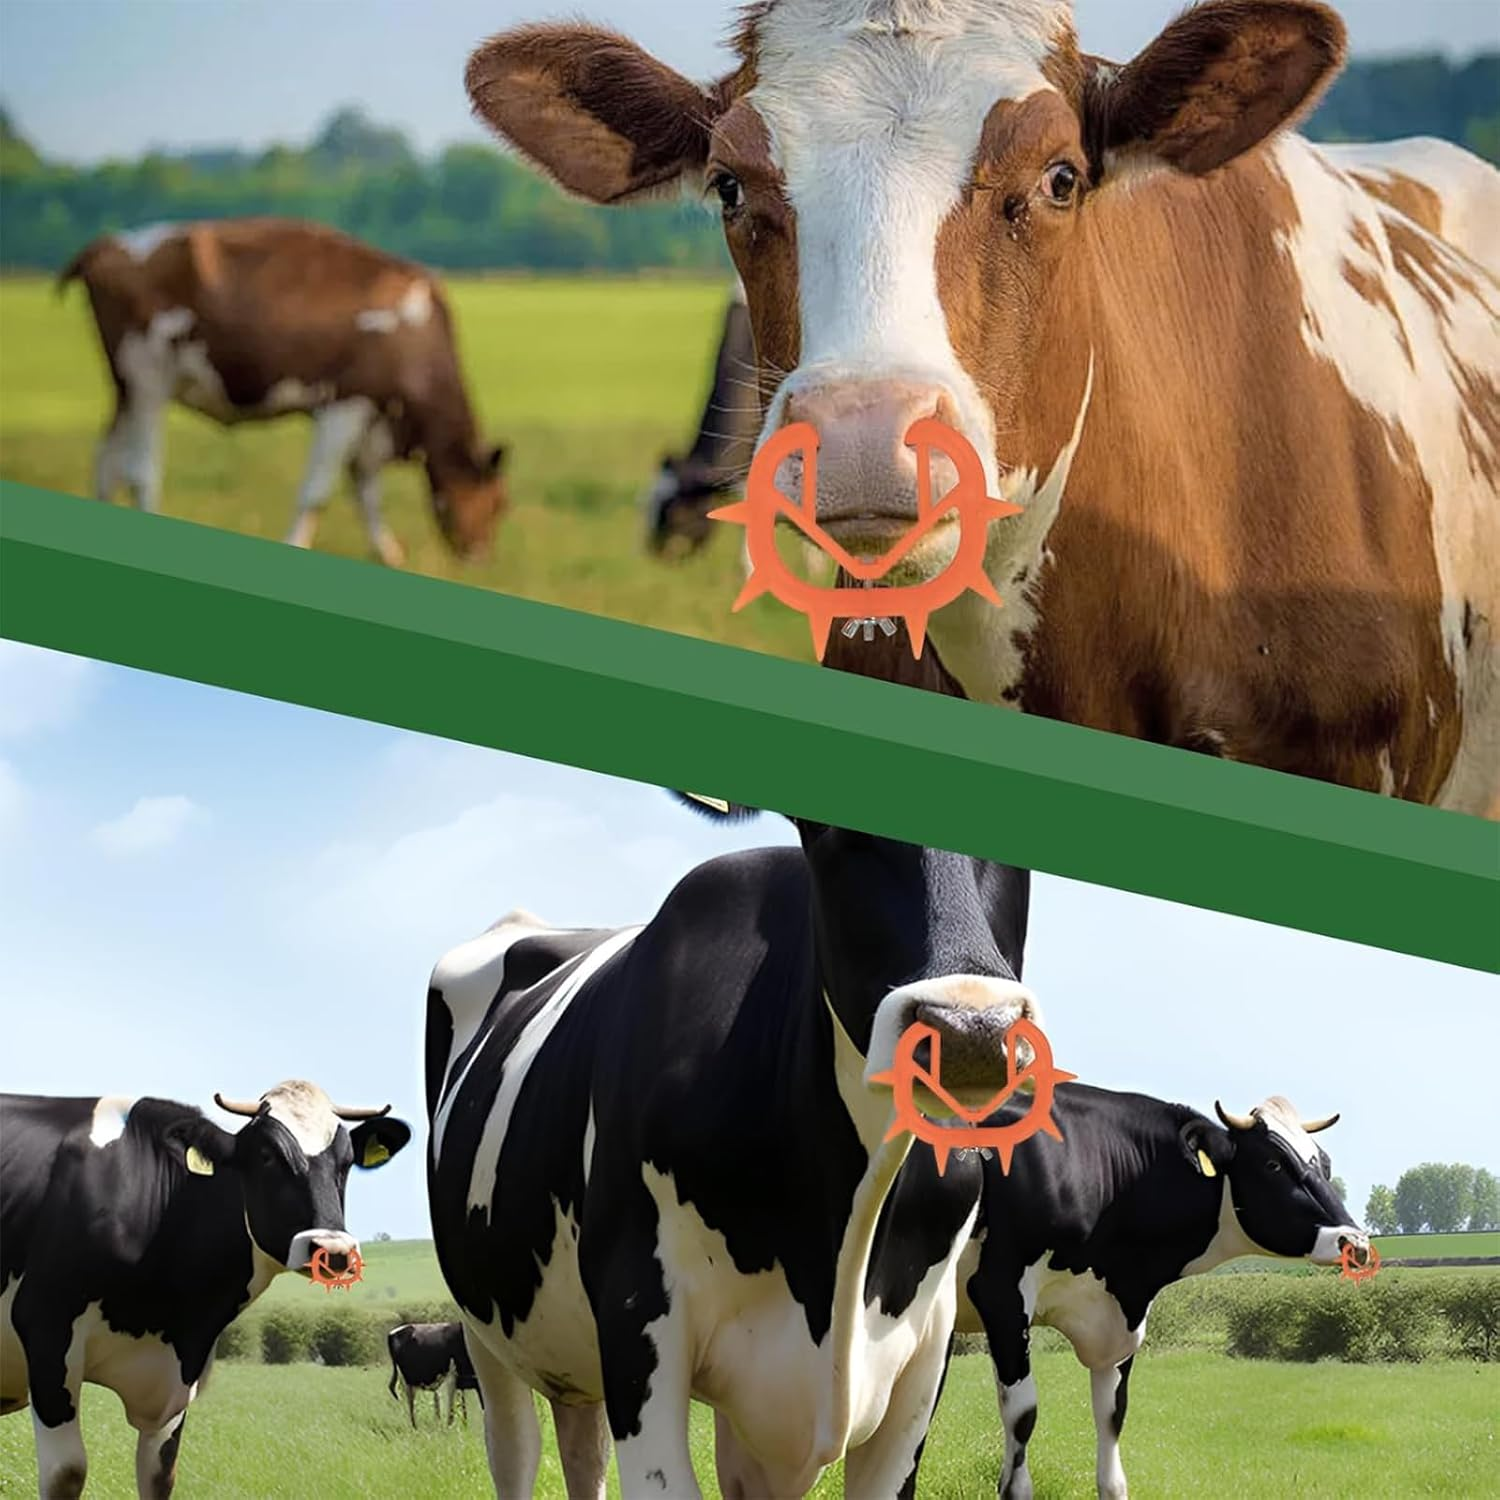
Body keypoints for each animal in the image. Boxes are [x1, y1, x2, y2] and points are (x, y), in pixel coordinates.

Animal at [0, 1082, 411, 1499]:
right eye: (266, 1156)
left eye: (346, 1162)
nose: (334, 1251)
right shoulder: (45, 1327)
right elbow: (67, 1472)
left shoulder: (177, 1376)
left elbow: (161, 1476)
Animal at [59, 217, 508, 567]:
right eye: (500, 503)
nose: (480, 555)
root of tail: (111, 243)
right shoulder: (347, 403)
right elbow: (318, 492)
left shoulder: (372, 423)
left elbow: (366, 492)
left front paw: (388, 553)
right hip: (148, 380)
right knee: (141, 470)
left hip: (124, 389)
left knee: (106, 459)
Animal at [425, 812, 1038, 1497]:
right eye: (828, 831)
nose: (971, 1030)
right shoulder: (636, 1310)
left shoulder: (925, 1345)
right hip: (483, 1330)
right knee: (514, 1451)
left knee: (583, 1450)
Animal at [933, 1088, 1368, 1500]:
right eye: (1273, 1164)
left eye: (1325, 1164)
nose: (1356, 1243)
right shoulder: (1001, 1295)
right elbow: (1023, 1418)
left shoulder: (1118, 1320)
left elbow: (1113, 1421)